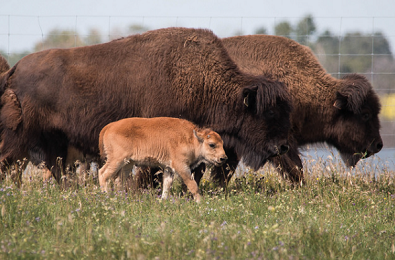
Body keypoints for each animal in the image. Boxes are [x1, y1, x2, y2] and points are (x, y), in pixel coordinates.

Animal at [0, 27, 290, 185]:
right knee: (9, 163)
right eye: (268, 112)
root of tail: (14, 71)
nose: (284, 146)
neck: (204, 80)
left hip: (55, 144)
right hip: (20, 138)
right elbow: (153, 173)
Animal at [99, 117, 229, 202]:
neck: (192, 138)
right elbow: (193, 185)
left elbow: (166, 185)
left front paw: (163, 200)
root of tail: (109, 127)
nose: (223, 158)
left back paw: (120, 198)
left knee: (119, 179)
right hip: (117, 160)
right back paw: (107, 196)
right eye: (212, 144)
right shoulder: (181, 167)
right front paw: (200, 202)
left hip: (128, 163)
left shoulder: (168, 168)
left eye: (222, 143)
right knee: (103, 173)